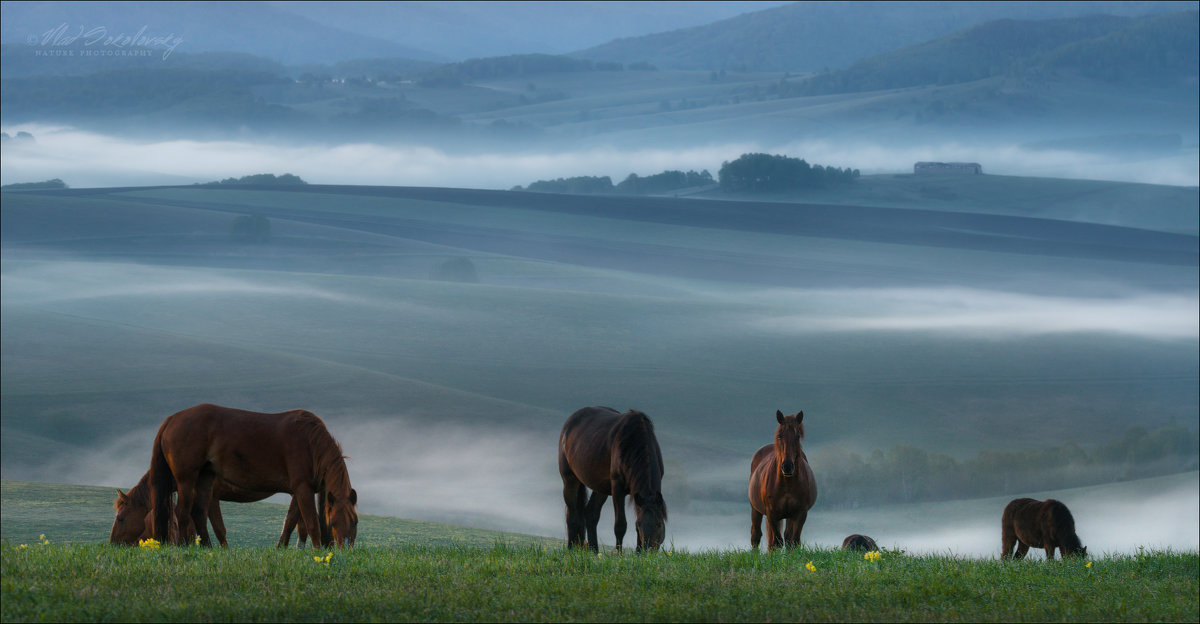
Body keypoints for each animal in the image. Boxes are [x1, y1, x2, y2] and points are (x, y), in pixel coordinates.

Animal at [150, 405, 357, 547]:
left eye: (355, 521)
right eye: (333, 522)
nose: (345, 549)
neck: (309, 443)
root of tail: (172, 419)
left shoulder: (300, 491)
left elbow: (290, 521)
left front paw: (280, 548)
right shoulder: (302, 489)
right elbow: (312, 523)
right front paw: (318, 552)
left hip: (205, 478)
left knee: (198, 512)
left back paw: (207, 548)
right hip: (186, 479)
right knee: (181, 513)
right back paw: (181, 547)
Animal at [559, 408, 672, 554]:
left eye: (659, 524)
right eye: (640, 524)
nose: (647, 551)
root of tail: (569, 423)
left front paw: (638, 554)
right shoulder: (617, 489)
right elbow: (620, 525)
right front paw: (619, 554)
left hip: (600, 488)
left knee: (590, 514)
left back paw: (594, 551)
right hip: (570, 480)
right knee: (572, 516)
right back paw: (571, 549)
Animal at [744, 410, 820, 552]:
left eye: (797, 436)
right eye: (780, 435)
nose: (787, 466)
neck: (787, 484)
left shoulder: (800, 513)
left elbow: (793, 541)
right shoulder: (771, 513)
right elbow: (777, 542)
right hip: (755, 509)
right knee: (756, 535)